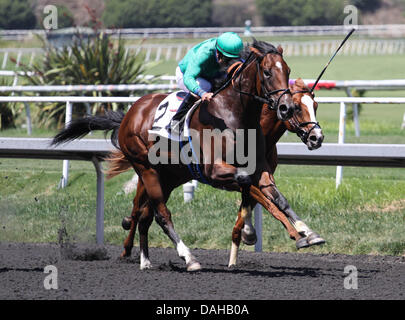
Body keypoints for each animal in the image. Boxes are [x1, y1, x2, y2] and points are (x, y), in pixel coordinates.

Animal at [51, 39, 300, 270]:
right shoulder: (213, 171)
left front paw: (301, 231)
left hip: (170, 176)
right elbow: (247, 182)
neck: (232, 114)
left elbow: (276, 196)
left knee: (145, 215)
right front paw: (251, 230)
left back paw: (145, 260)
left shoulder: (260, 167)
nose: (287, 107)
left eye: (288, 71)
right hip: (146, 168)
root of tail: (131, 113)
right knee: (161, 214)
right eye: (267, 72)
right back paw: (188, 258)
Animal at [227, 78, 326, 268]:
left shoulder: (263, 178)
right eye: (297, 107)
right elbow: (269, 204)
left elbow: (272, 202)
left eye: (316, 106)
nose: (317, 138)